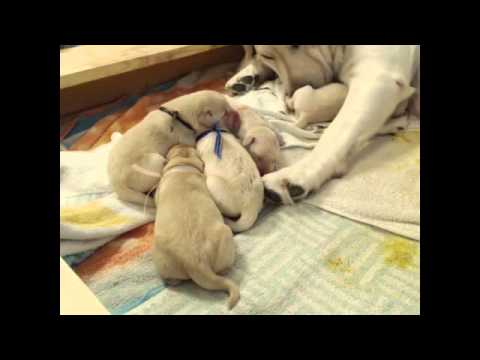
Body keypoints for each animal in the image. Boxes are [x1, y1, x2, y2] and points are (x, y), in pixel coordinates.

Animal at [107, 90, 238, 207]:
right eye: (225, 112)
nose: (236, 113)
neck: (181, 116)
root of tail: (117, 184)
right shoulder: (187, 138)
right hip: (154, 160)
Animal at [225, 45, 420, 204]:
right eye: (268, 56)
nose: (294, 92)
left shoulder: (377, 80)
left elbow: (336, 133)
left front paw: (298, 174)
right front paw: (245, 74)